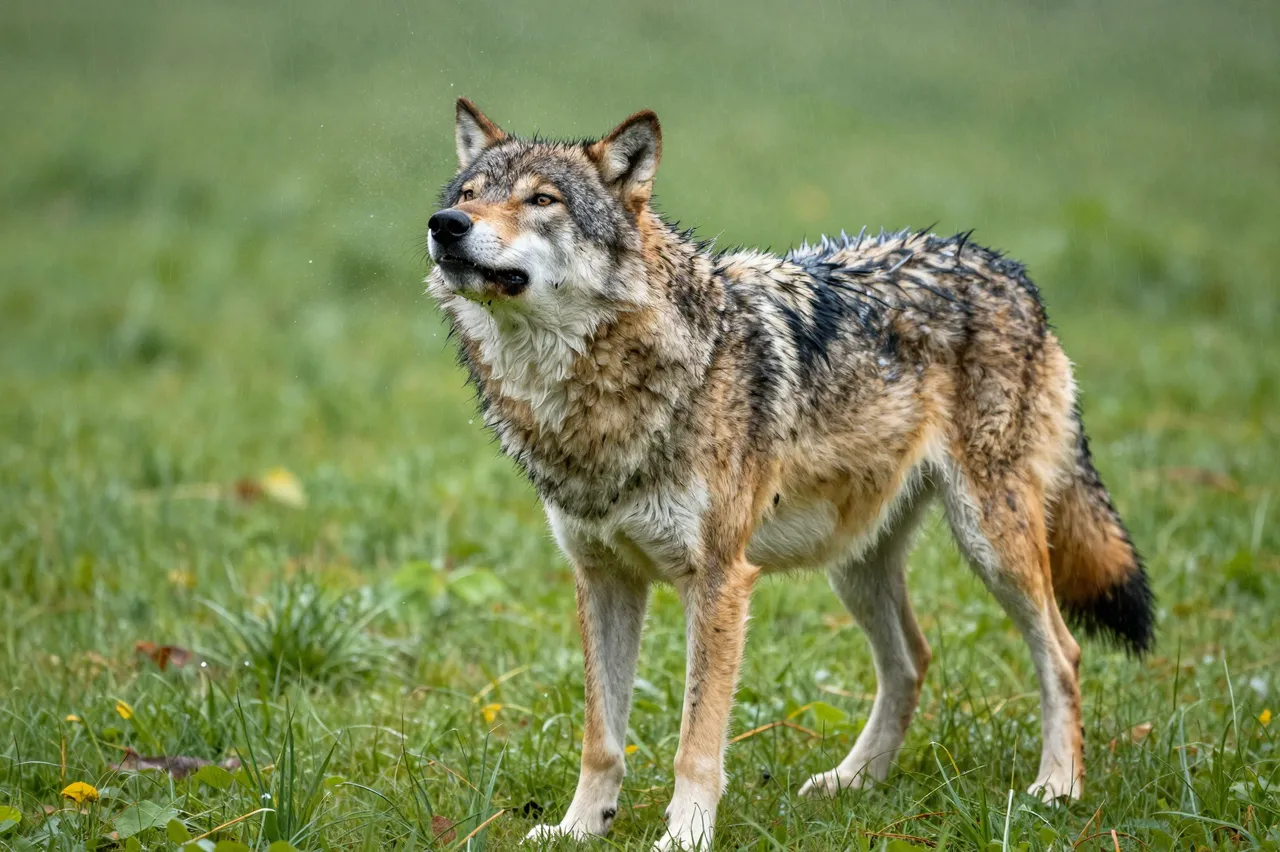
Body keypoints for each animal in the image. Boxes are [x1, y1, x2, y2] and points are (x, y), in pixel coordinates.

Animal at [425, 99, 1154, 850]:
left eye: (542, 200)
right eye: (468, 195)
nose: (445, 225)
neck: (601, 398)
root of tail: (1003, 266)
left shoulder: (718, 581)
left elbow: (696, 742)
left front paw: (685, 836)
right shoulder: (603, 578)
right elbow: (601, 737)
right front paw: (578, 828)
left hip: (991, 544)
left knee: (1062, 653)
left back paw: (1057, 787)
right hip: (854, 563)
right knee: (912, 660)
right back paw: (853, 781)